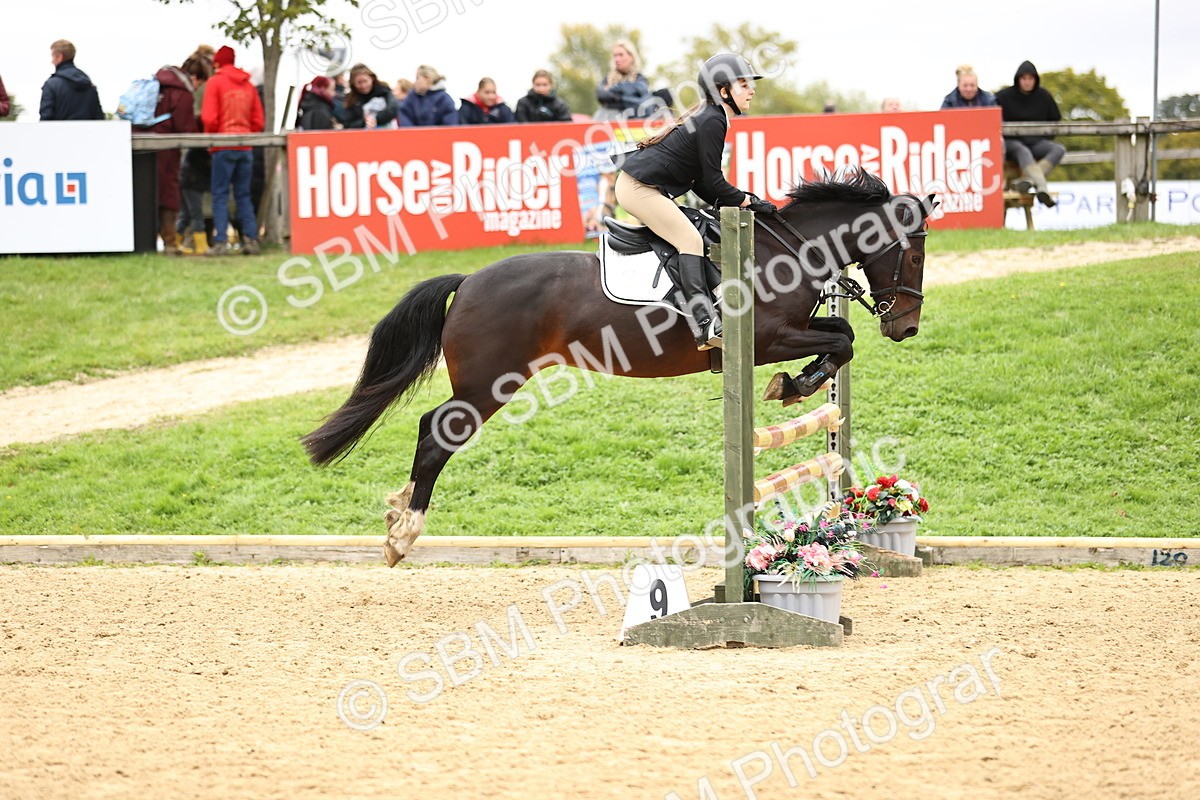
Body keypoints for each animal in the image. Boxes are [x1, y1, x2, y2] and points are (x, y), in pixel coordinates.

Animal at [302, 169, 935, 566]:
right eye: (914, 253)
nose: (905, 327)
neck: (787, 249)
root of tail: (471, 279)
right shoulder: (766, 339)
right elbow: (843, 342)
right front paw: (794, 383)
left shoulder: (787, 333)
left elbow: (841, 339)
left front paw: (799, 383)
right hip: (489, 385)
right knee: (437, 435)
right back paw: (402, 534)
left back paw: (397, 515)